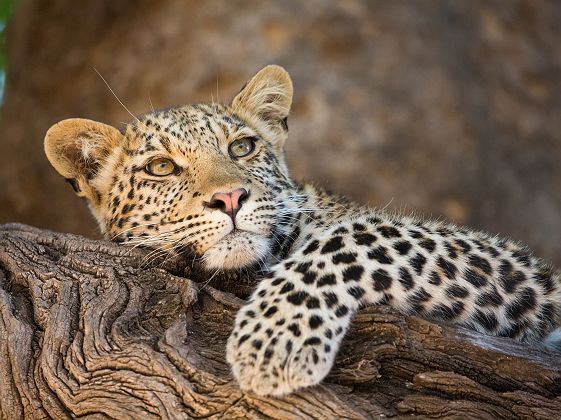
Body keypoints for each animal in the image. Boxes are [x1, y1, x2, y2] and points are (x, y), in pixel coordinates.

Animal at [44, 64, 560, 396]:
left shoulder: (520, 271)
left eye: (243, 147)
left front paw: (274, 344)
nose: (230, 198)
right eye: (161, 167)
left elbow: (357, 236)